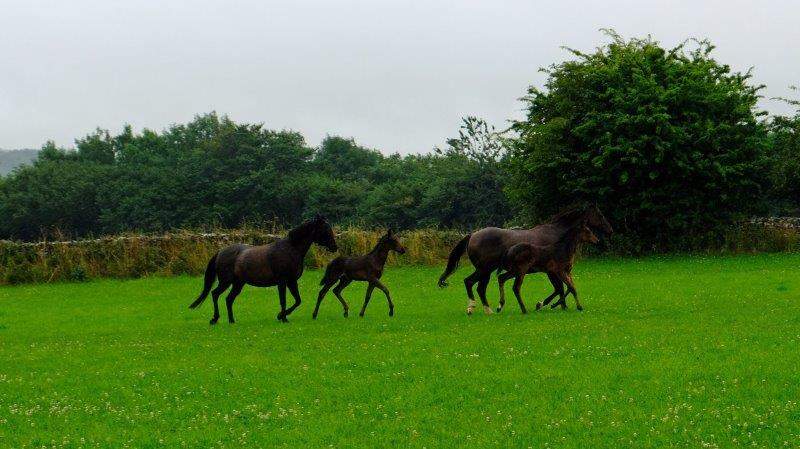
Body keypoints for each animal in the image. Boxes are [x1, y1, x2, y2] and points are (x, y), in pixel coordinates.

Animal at [190, 214, 338, 322]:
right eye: (325, 229)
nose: (334, 247)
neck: (291, 249)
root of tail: (220, 252)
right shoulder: (283, 282)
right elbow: (283, 300)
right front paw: (283, 318)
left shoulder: (292, 282)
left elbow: (298, 301)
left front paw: (281, 316)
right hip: (226, 281)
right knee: (215, 294)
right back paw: (215, 319)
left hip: (238, 284)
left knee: (228, 299)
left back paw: (232, 320)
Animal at [438, 204, 612, 314]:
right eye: (600, 215)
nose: (610, 230)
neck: (557, 236)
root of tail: (473, 234)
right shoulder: (552, 271)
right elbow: (560, 288)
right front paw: (545, 304)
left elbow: (563, 288)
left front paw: (560, 305)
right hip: (484, 269)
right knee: (471, 283)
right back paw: (477, 308)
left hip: (487, 271)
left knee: (479, 287)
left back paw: (488, 309)